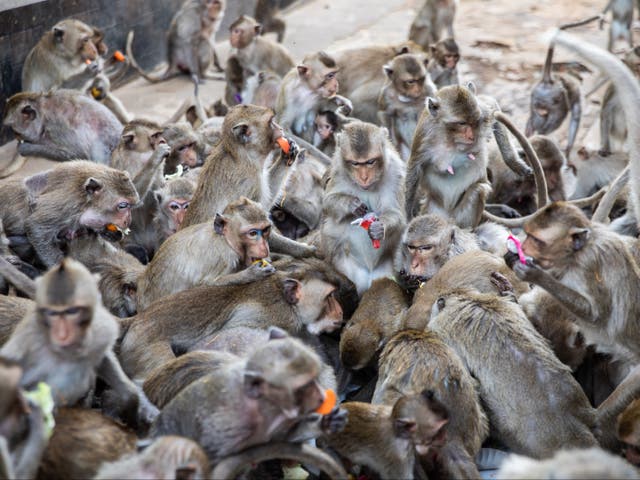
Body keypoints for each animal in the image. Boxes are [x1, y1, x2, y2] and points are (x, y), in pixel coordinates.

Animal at [0, 160, 139, 268]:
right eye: (123, 206)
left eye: (132, 206)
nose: (128, 220)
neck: (85, 200)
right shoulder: (68, 204)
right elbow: (36, 226)